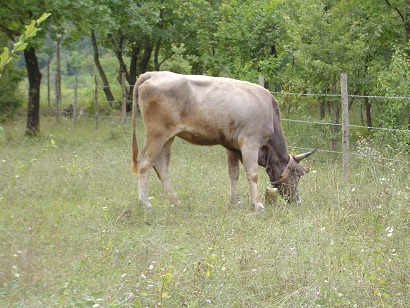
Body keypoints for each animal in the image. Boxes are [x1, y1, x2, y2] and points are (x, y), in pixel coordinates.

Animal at [130, 71, 316, 211]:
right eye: (297, 176)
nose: (297, 200)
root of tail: (154, 74)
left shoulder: (232, 146)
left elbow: (233, 173)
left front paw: (235, 201)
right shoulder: (250, 142)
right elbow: (252, 173)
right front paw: (257, 204)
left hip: (168, 137)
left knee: (161, 166)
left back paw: (176, 202)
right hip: (157, 133)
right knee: (145, 162)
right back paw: (145, 203)